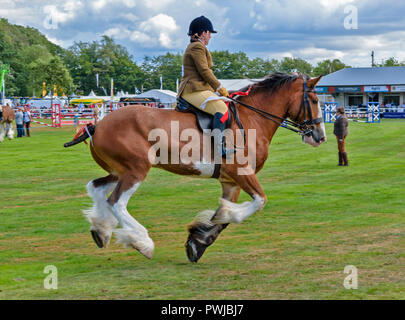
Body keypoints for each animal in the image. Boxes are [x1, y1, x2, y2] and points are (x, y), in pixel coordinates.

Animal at [64, 72, 326, 262]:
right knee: (116, 202)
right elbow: (256, 202)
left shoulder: (231, 182)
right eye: (314, 100)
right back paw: (142, 242)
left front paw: (197, 243)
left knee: (96, 187)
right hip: (136, 170)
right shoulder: (242, 173)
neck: (252, 120)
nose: (320, 136)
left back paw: (101, 230)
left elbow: (222, 220)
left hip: (118, 171)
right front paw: (220, 220)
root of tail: (98, 125)